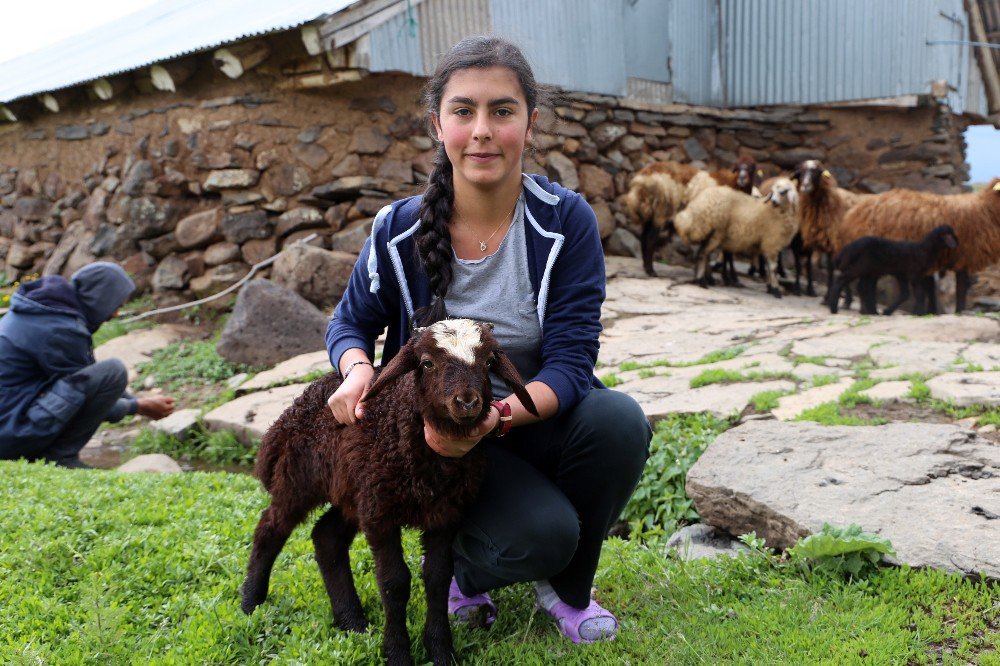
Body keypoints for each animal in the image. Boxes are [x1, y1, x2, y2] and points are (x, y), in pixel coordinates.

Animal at [240, 320, 540, 660]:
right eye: (427, 363)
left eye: (489, 362)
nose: (466, 402)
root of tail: (287, 414)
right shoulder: (380, 515)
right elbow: (394, 582)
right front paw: (397, 651)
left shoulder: (444, 513)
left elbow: (437, 577)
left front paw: (440, 649)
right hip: (300, 480)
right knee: (270, 527)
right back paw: (251, 601)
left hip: (356, 491)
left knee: (326, 537)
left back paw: (351, 620)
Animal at [836, 176, 1000, 312]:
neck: (984, 209)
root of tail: (854, 212)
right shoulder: (963, 256)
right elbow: (959, 289)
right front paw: (957, 311)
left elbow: (933, 288)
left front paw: (930, 311)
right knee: (864, 284)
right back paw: (869, 309)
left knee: (866, 284)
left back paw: (869, 310)